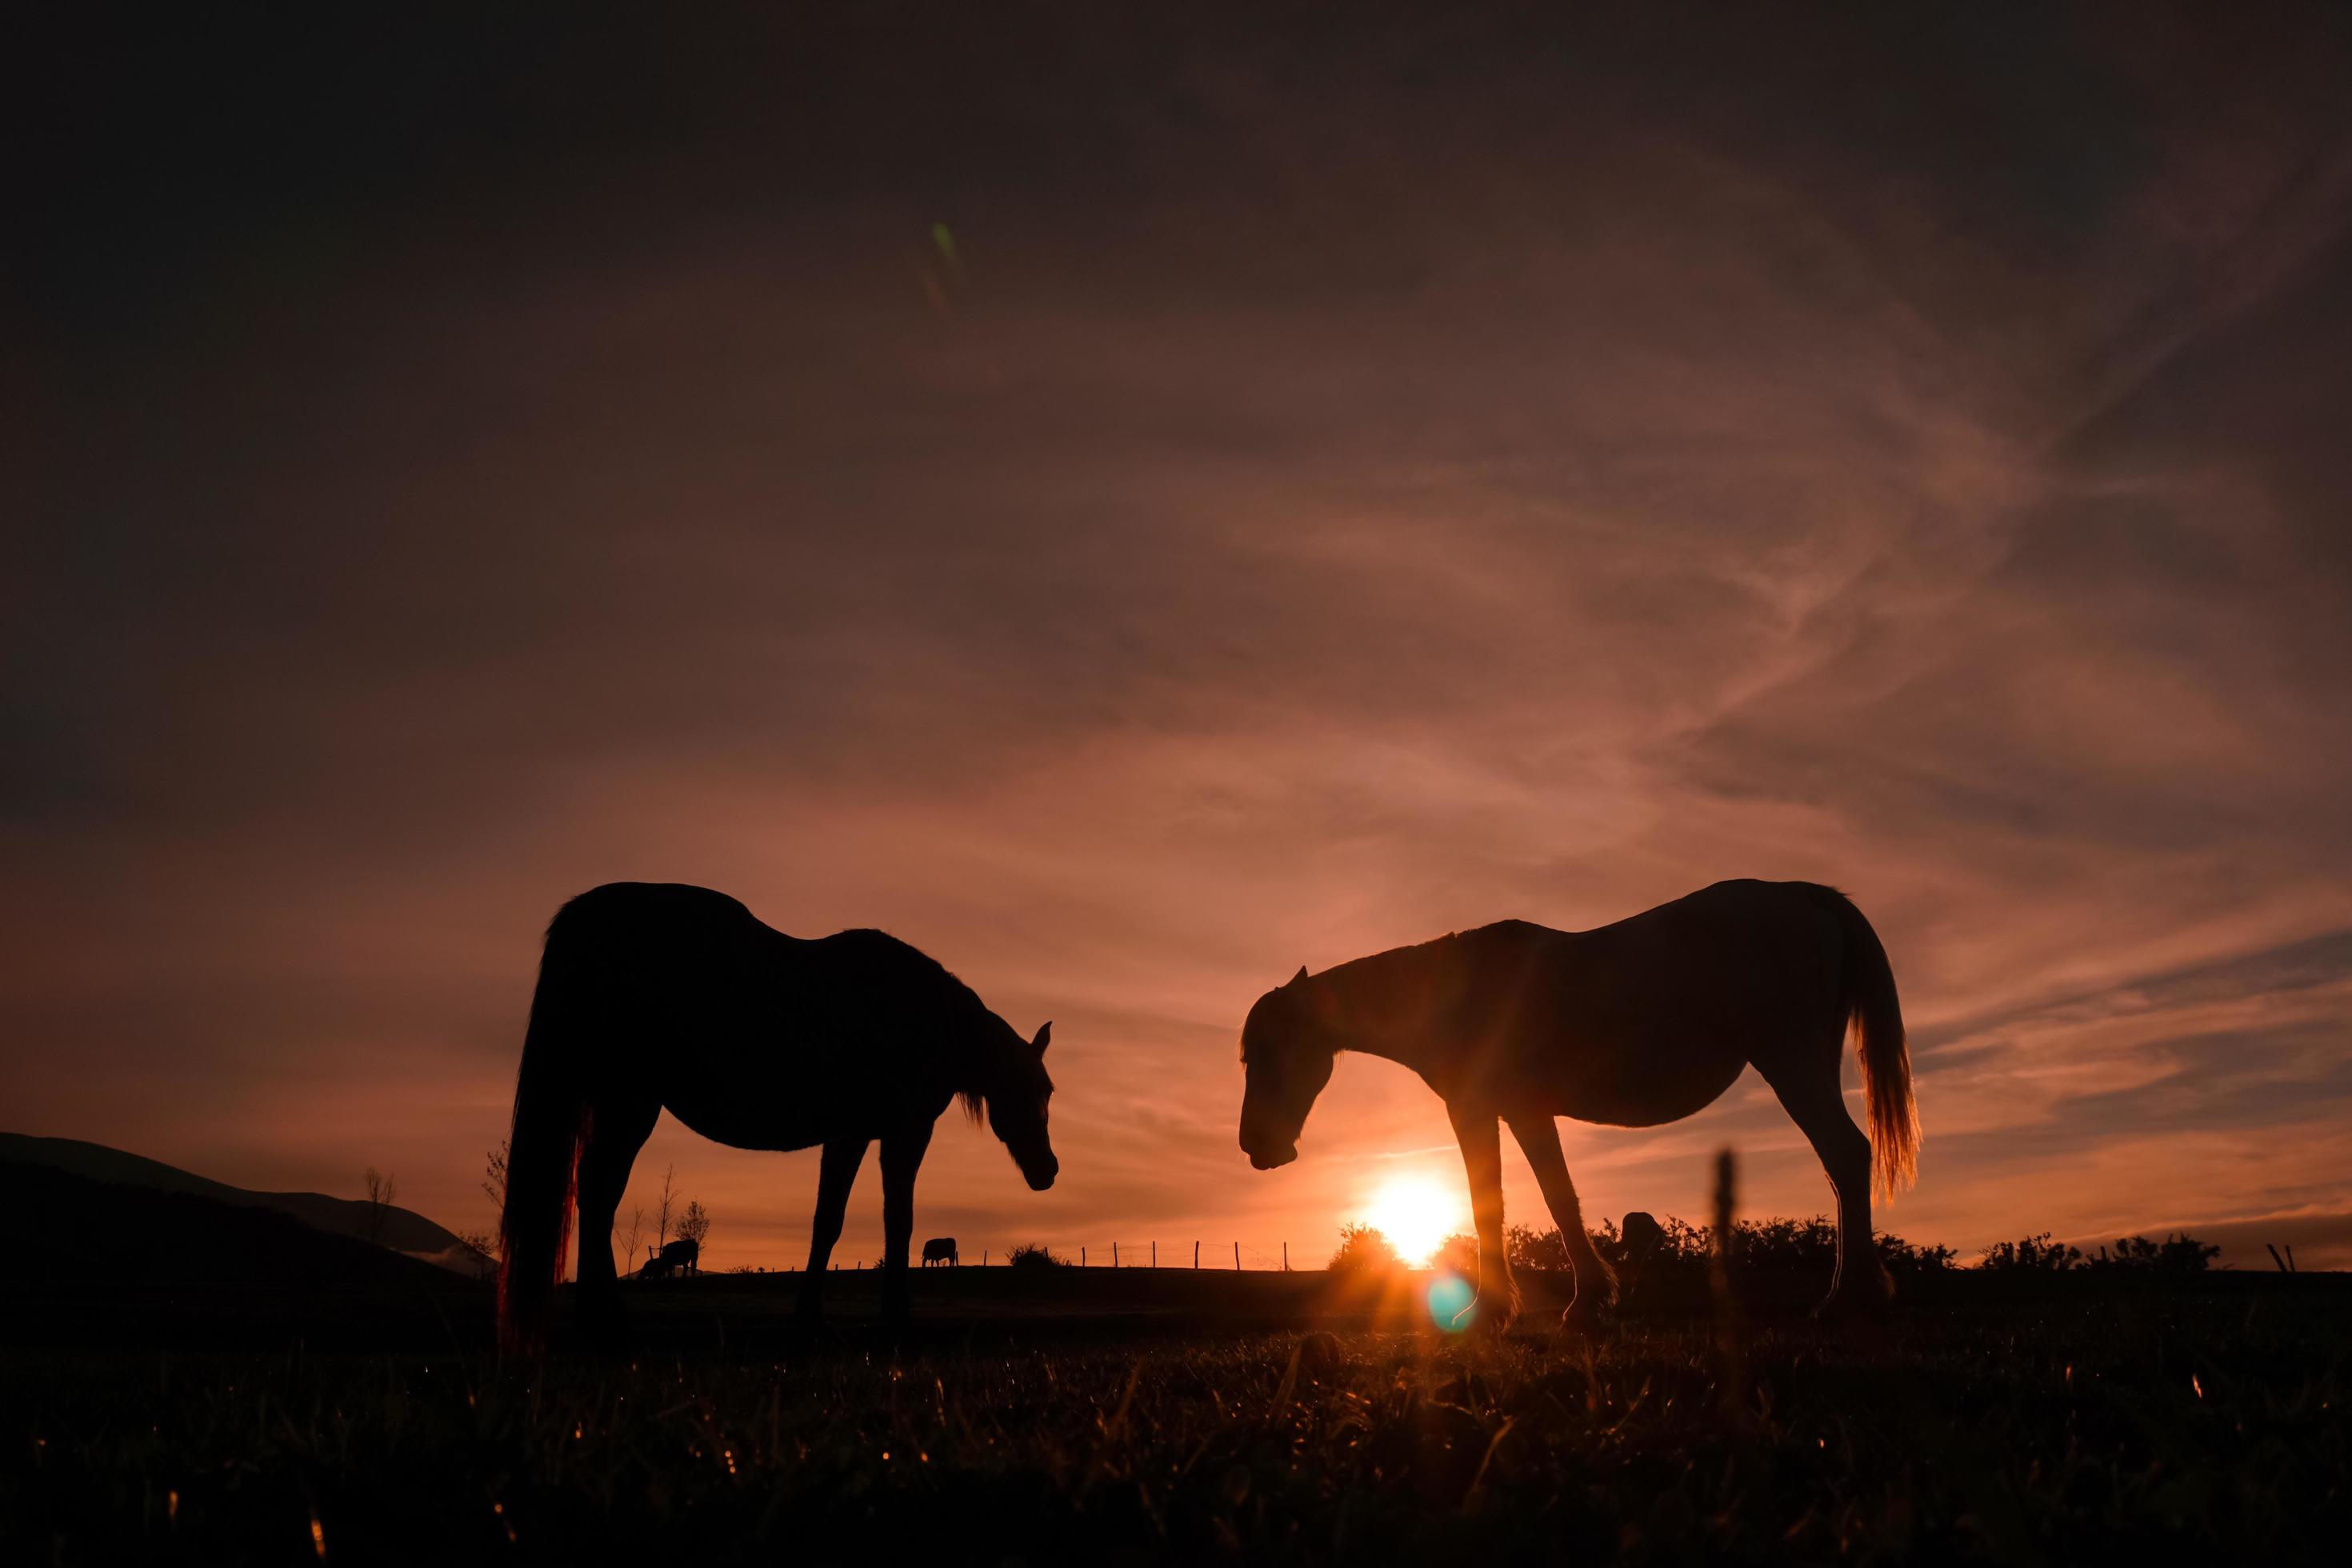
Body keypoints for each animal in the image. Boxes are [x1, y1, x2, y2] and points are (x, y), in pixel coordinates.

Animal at [496, 883, 1058, 1354]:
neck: (931, 1020)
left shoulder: (853, 1134)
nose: (1048, 1171)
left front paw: (811, 1315)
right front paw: (894, 1315)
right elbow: (896, 1219)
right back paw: (607, 1320)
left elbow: (828, 1221)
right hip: (628, 1103)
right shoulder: (904, 1131)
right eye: (1039, 1090)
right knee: (598, 1192)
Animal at [1232, 879, 1910, 1335]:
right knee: (1840, 1163)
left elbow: (1514, 1201)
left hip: (1790, 1061)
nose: (1256, 1148)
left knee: (1846, 1155)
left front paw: (1519, 1310)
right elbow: (1535, 1198)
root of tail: (1803, 896)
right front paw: (1556, 1304)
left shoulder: (1490, 1110)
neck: (1452, 993)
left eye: (1265, 1050)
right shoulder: (1513, 1113)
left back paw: (1851, 1297)